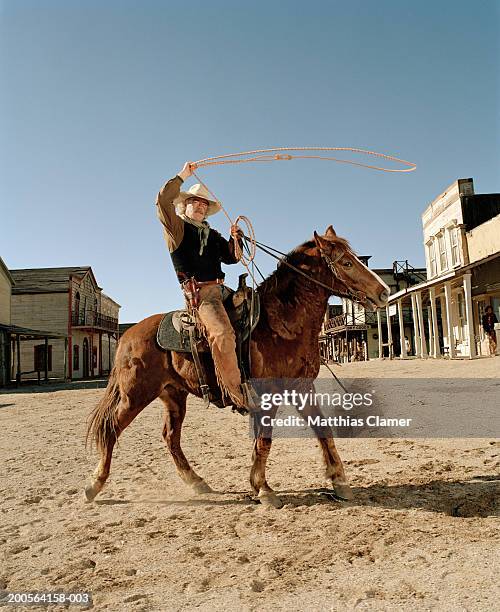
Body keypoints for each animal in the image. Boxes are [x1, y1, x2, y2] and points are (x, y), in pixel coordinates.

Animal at [85, 227, 390, 510]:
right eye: (347, 263)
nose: (383, 292)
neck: (282, 323)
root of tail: (129, 335)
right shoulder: (268, 394)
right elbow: (265, 441)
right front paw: (263, 488)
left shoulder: (302, 387)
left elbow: (322, 429)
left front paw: (339, 481)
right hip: (135, 394)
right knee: (111, 429)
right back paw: (94, 484)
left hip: (173, 395)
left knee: (170, 437)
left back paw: (196, 481)